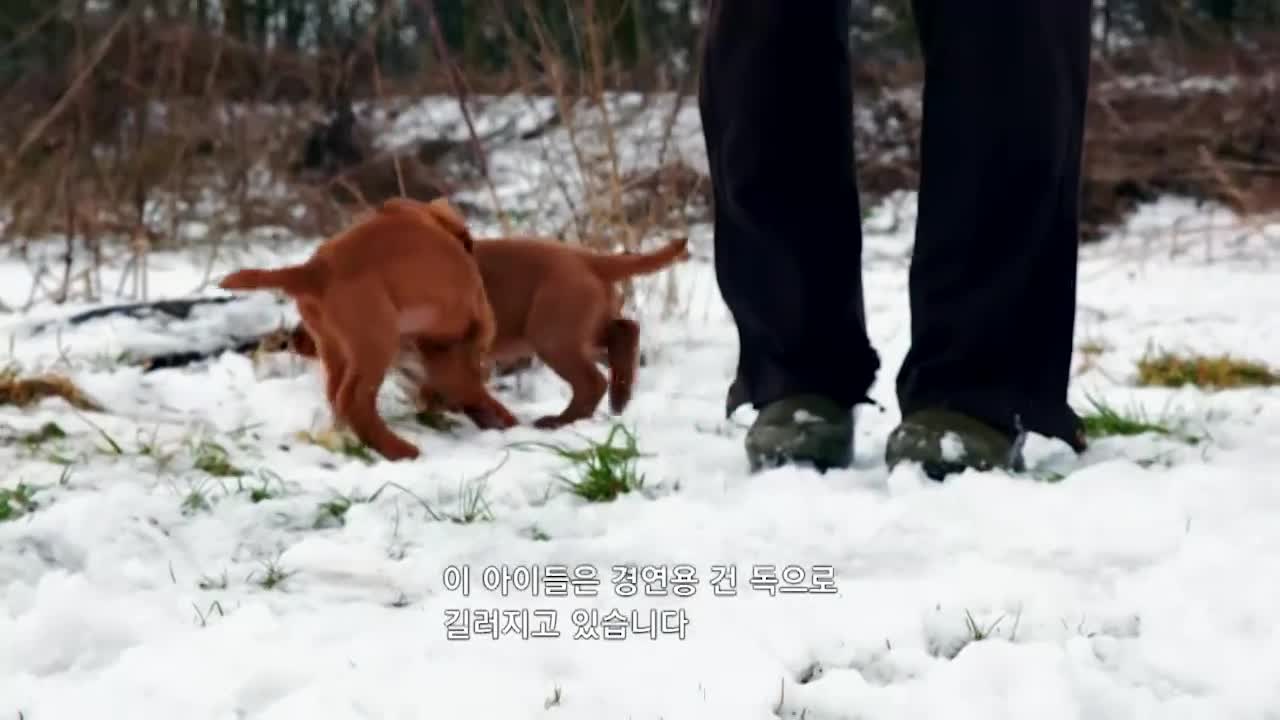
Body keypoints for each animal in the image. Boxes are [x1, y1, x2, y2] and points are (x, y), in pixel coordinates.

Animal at [217, 196, 501, 456]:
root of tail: (314, 271)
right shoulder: (472, 327)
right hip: (376, 343)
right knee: (356, 402)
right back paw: (402, 450)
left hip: (335, 348)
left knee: (337, 397)